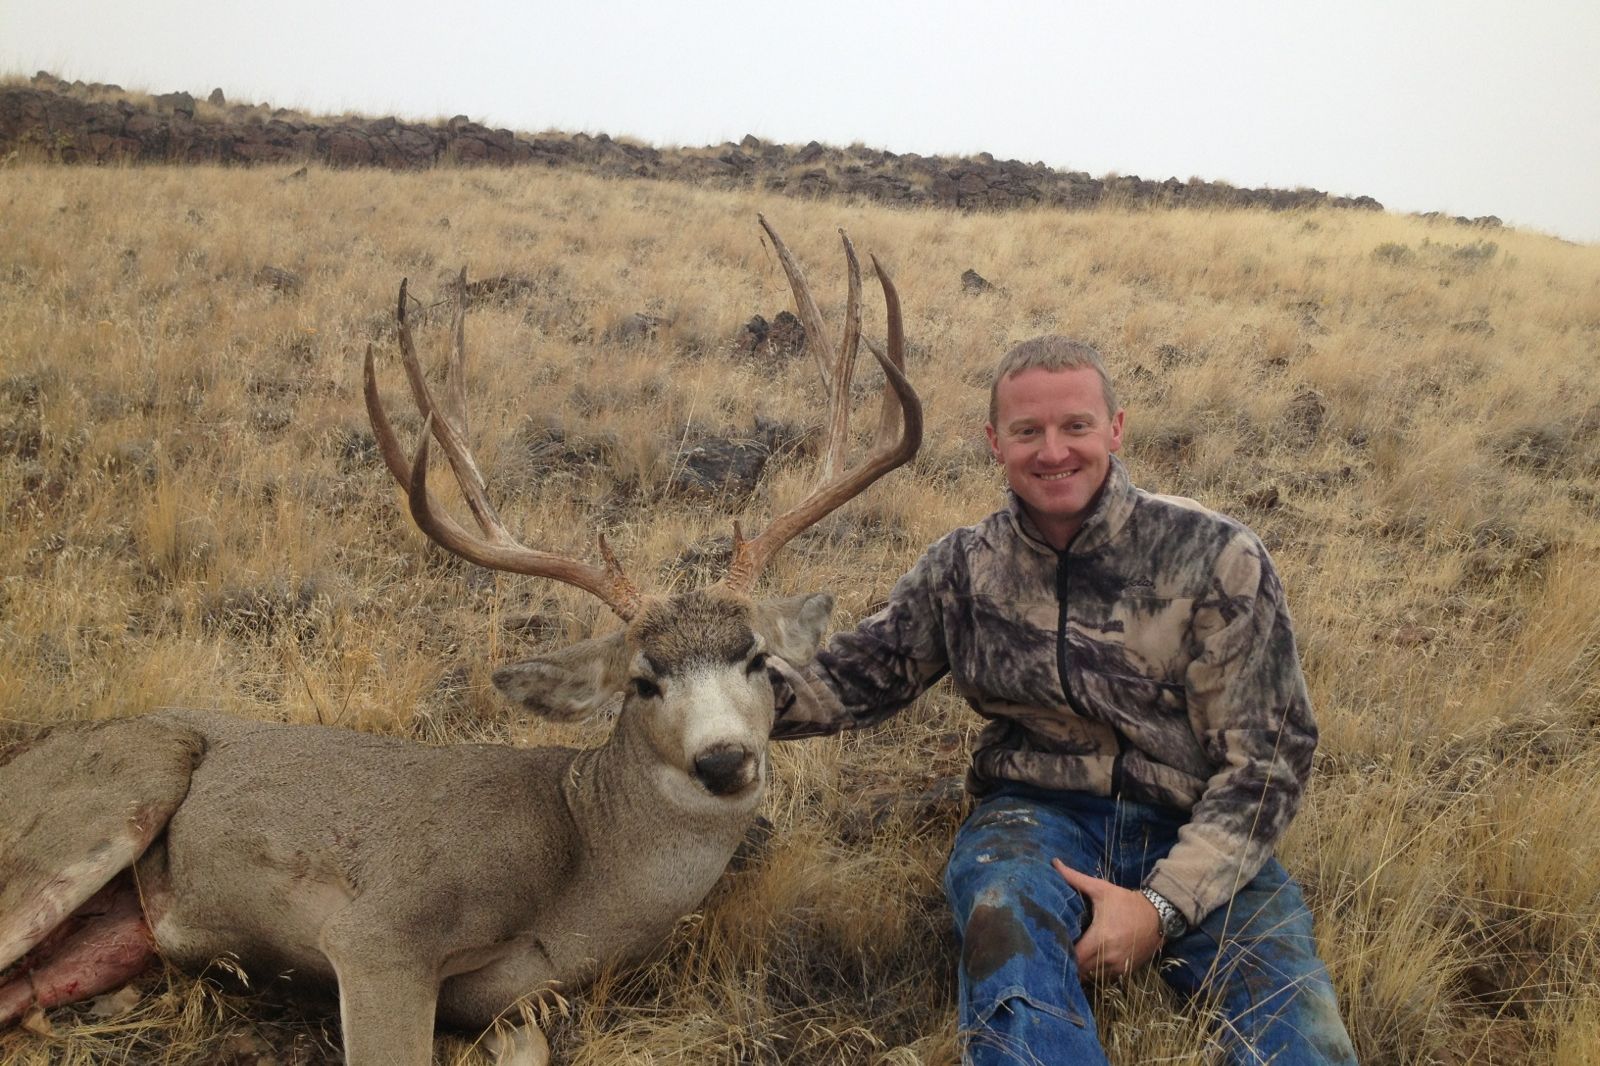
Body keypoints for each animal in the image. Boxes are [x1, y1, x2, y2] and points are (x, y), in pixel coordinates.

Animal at [0, 218, 922, 1065]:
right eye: (642, 680)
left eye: (756, 659)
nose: (725, 759)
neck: (583, 869)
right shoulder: (382, 929)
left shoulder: (515, 1005)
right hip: (109, 800)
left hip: (111, 938)